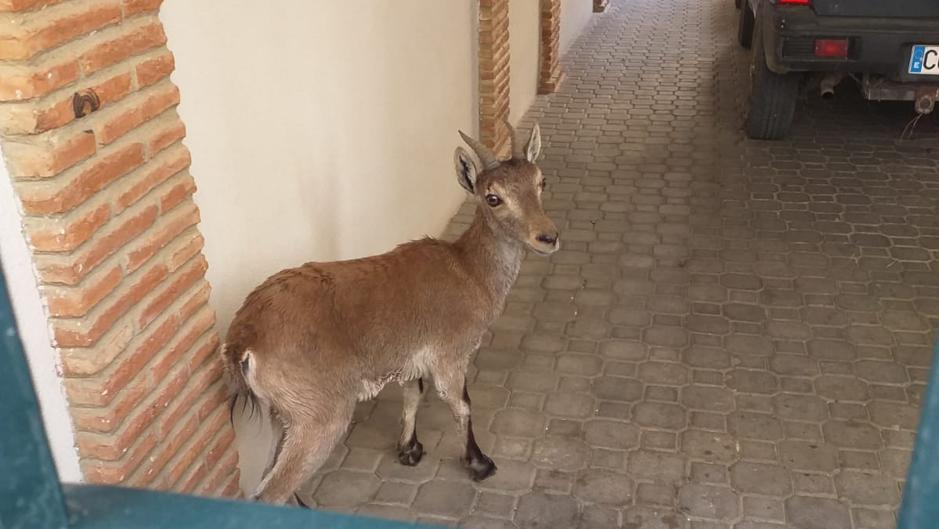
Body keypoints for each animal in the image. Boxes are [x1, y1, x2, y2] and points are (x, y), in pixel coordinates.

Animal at [222, 124, 559, 505]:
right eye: (493, 197)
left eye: (540, 181)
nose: (548, 237)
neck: (470, 272)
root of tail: (244, 340)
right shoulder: (450, 355)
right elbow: (460, 404)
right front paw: (479, 463)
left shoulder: (410, 361)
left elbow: (414, 395)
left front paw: (410, 450)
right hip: (318, 414)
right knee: (272, 490)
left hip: (281, 414)